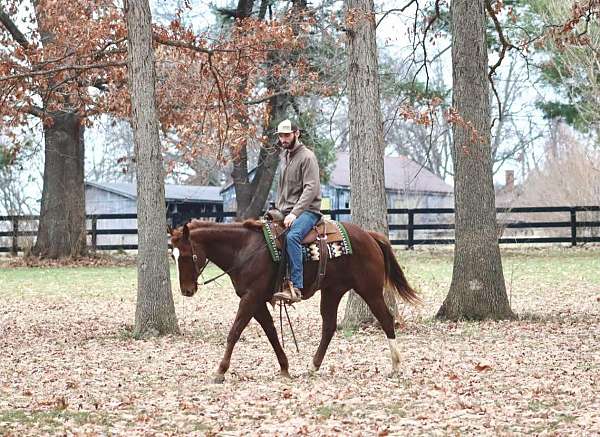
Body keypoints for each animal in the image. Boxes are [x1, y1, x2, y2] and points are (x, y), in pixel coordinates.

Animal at [168, 218, 418, 382]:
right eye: (173, 256)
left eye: (187, 256)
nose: (186, 291)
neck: (244, 249)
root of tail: (369, 236)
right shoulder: (255, 301)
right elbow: (271, 332)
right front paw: (285, 367)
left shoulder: (250, 298)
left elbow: (235, 331)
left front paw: (220, 371)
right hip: (332, 291)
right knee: (329, 326)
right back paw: (313, 366)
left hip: (370, 290)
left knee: (386, 319)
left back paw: (396, 365)